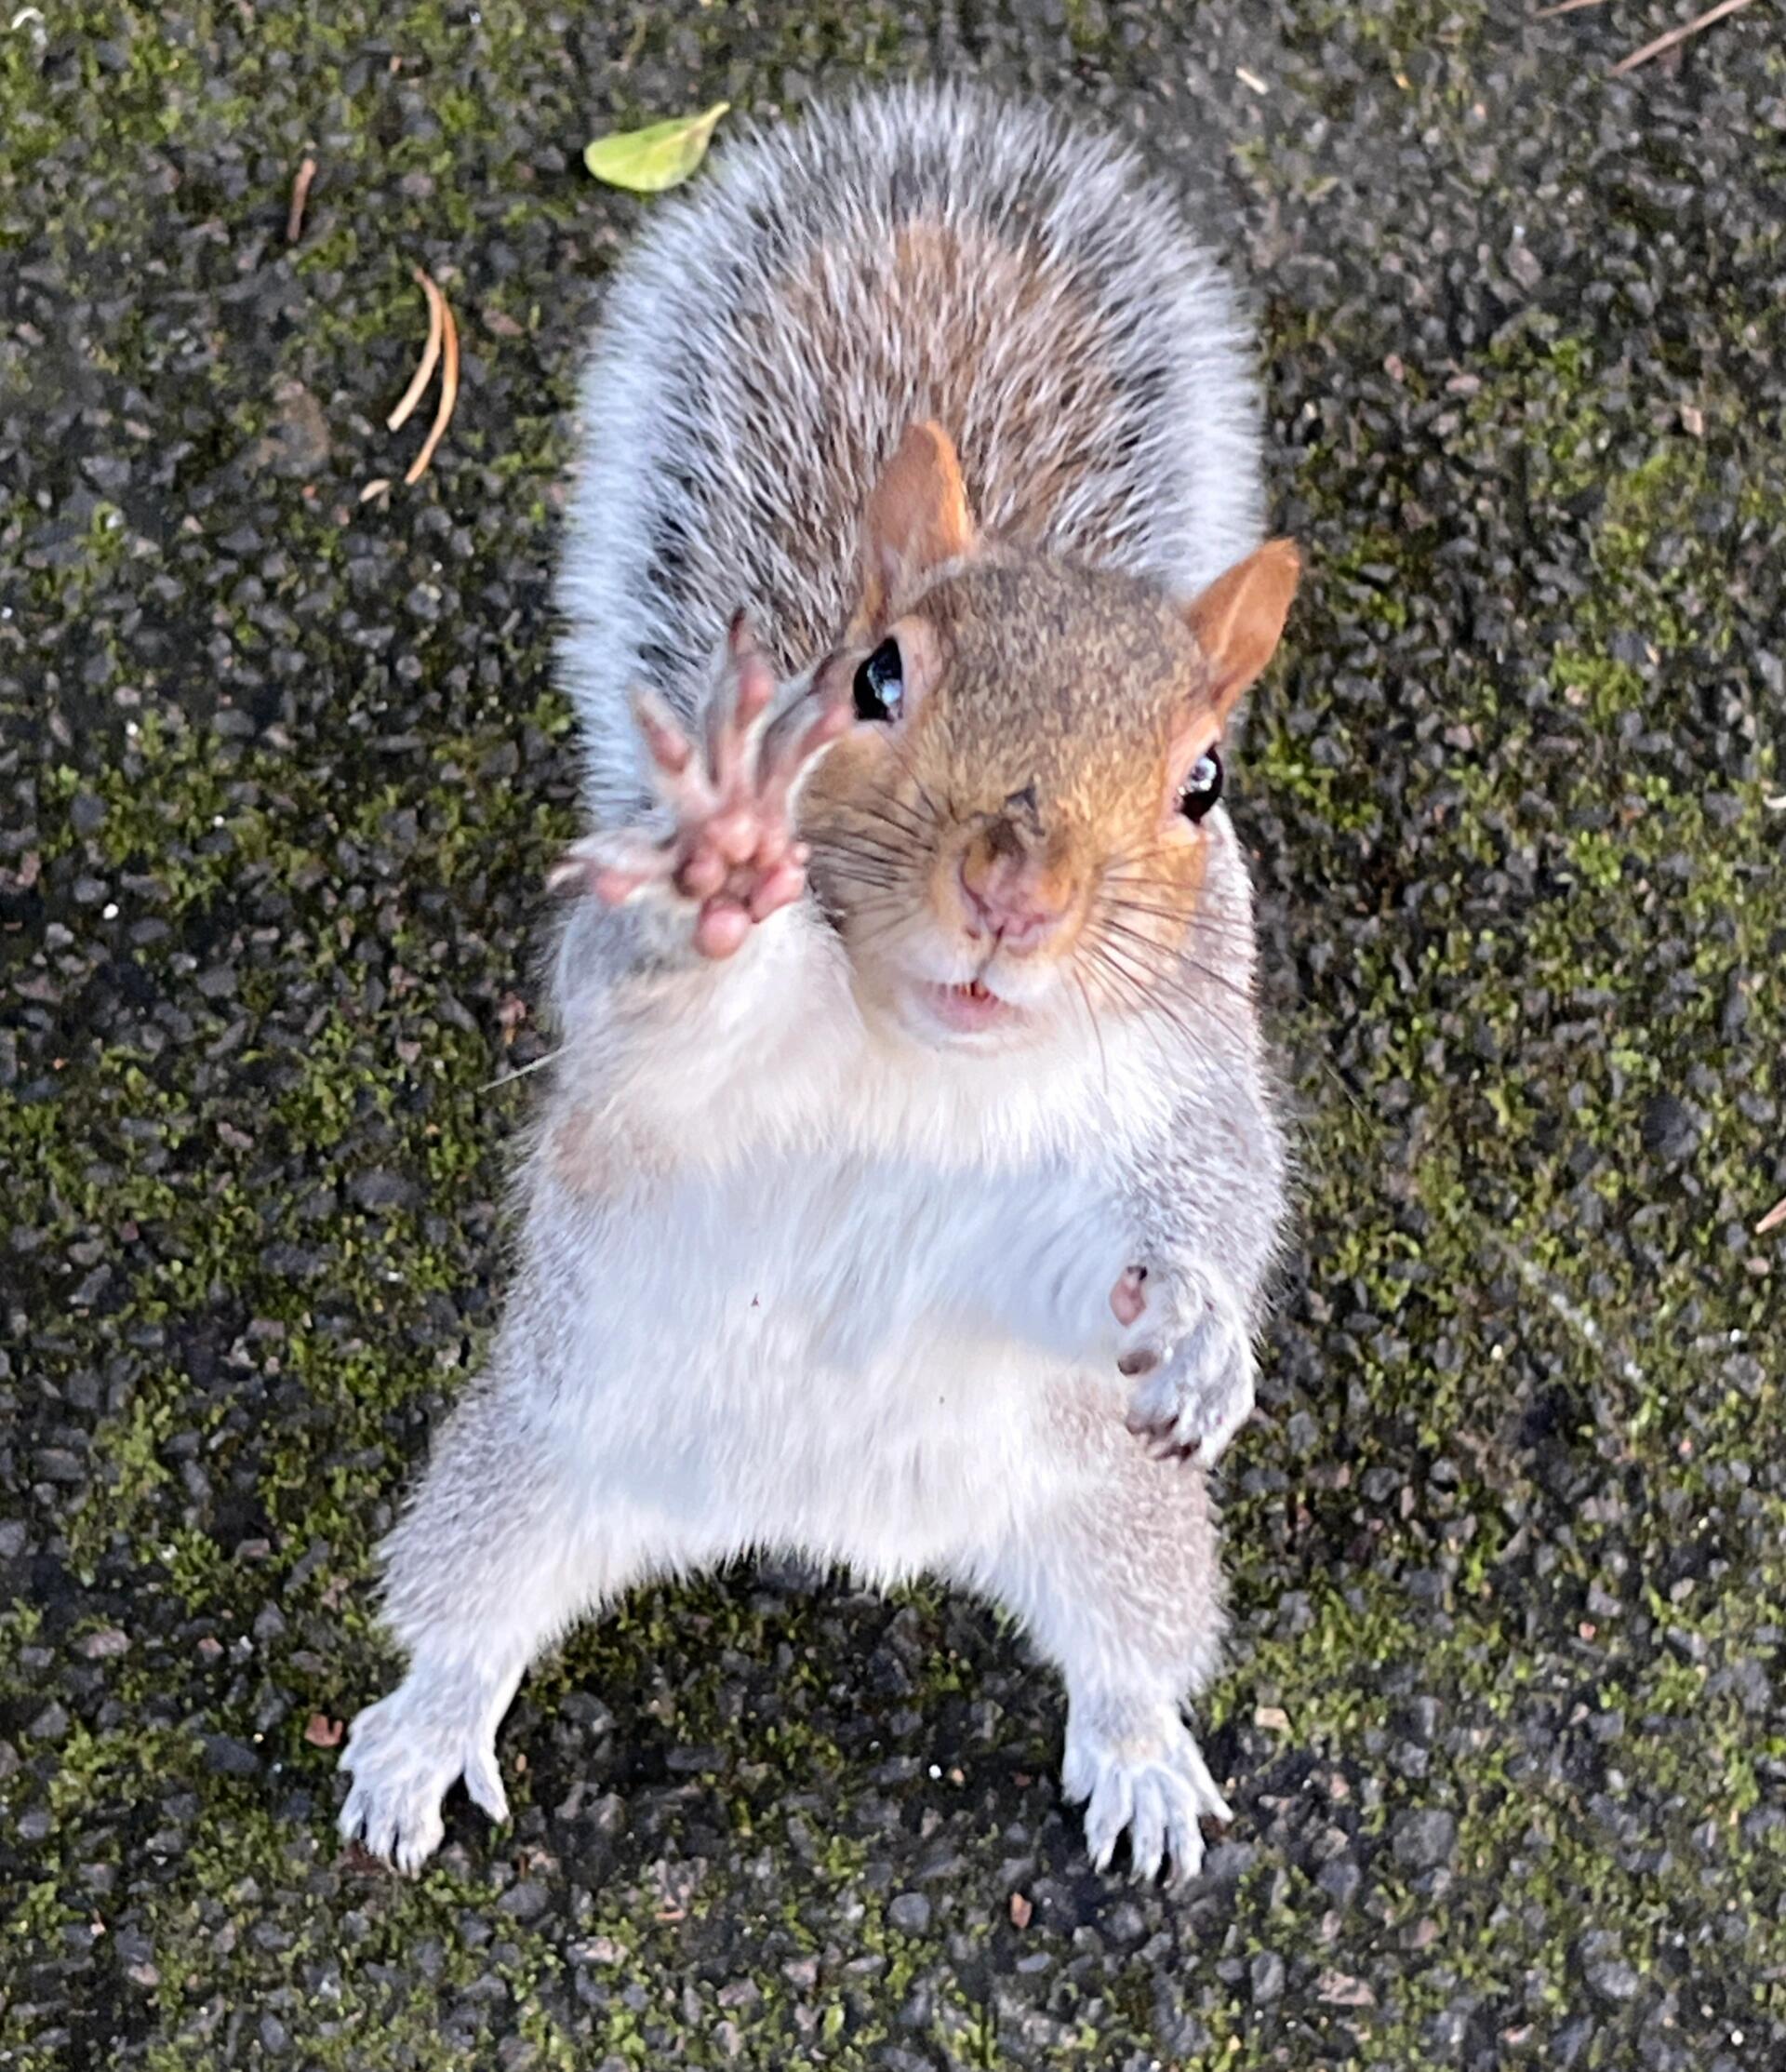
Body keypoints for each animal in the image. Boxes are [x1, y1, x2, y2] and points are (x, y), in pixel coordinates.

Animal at [341, 88, 1300, 1890]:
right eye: (877, 678)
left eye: (1204, 782)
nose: (1012, 893)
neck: (933, 1058)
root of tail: (820, 1525)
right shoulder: (657, 1072)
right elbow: (660, 1027)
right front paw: (724, 881)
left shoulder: (1176, 1091)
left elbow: (1153, 1227)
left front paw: (1196, 1326)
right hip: (531, 1470)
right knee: (470, 1605)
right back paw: (423, 1727)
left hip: (1117, 1520)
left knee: (1128, 1644)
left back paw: (1142, 1753)